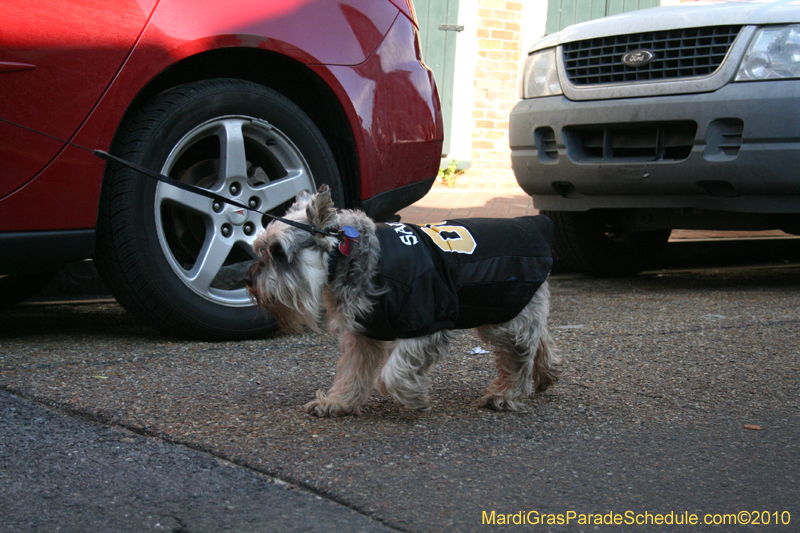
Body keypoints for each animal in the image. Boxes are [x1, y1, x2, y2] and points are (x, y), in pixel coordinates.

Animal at [247, 185, 560, 418]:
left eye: (278, 252)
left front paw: (416, 397)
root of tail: (539, 227)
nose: (249, 280)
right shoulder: (364, 332)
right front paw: (337, 402)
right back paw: (546, 373)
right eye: (260, 248)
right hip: (504, 309)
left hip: (503, 316)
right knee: (539, 337)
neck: (344, 252)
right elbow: (351, 371)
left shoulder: (424, 325)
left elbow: (392, 373)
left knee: (519, 357)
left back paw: (505, 395)